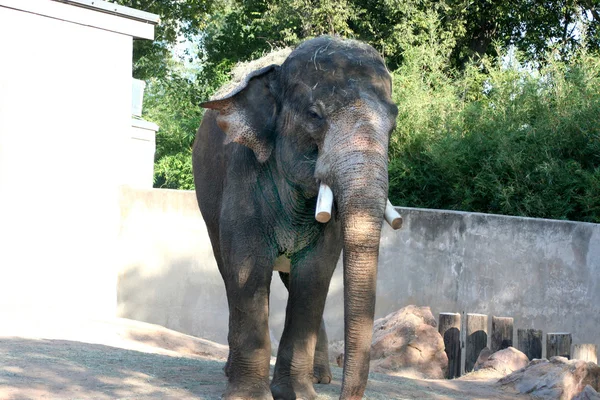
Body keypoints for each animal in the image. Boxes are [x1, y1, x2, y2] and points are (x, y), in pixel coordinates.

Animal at [193, 35, 398, 400]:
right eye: (315, 115)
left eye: (393, 125)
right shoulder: (243, 174)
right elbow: (246, 268)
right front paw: (249, 397)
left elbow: (315, 275)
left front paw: (298, 395)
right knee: (229, 274)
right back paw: (231, 371)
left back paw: (320, 378)